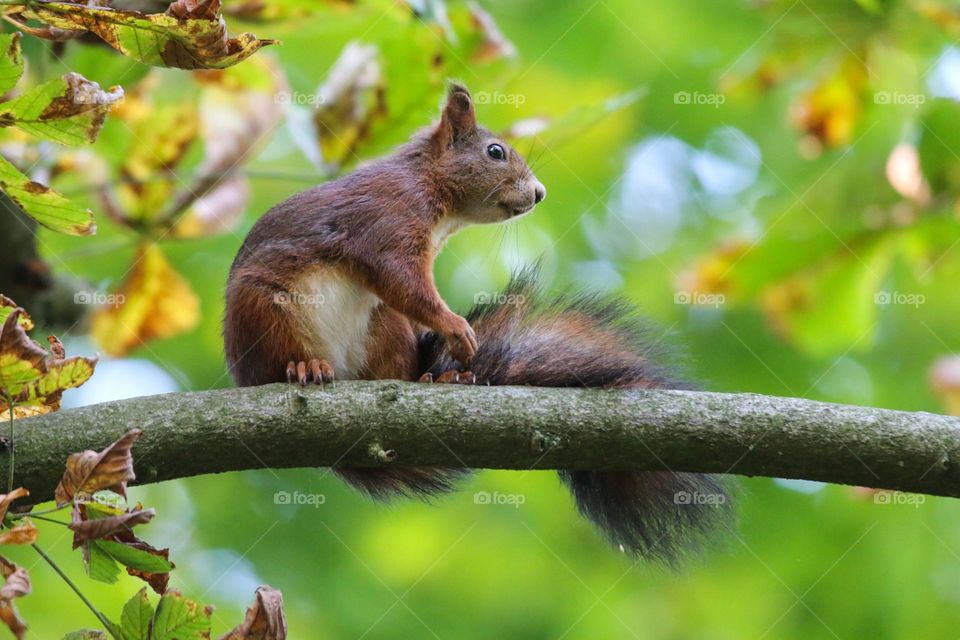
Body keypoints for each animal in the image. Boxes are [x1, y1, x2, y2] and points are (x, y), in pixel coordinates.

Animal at [225, 84, 732, 560]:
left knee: (393, 370)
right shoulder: (387, 220)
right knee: (278, 359)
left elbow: (406, 292)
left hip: (385, 330)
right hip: (260, 308)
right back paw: (304, 367)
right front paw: (454, 326)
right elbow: (402, 280)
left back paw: (435, 379)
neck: (430, 188)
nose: (539, 193)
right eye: (495, 152)